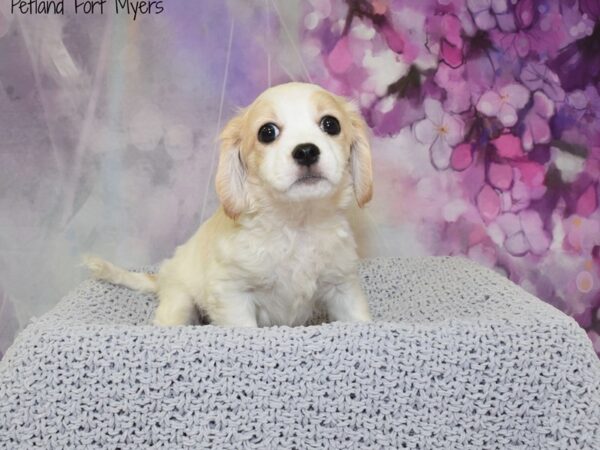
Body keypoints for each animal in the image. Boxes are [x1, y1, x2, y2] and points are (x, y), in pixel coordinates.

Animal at [86, 81, 372, 326]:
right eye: (267, 132)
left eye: (331, 124)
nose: (306, 151)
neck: (296, 222)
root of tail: (163, 275)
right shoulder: (232, 293)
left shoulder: (342, 285)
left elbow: (358, 320)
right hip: (180, 301)